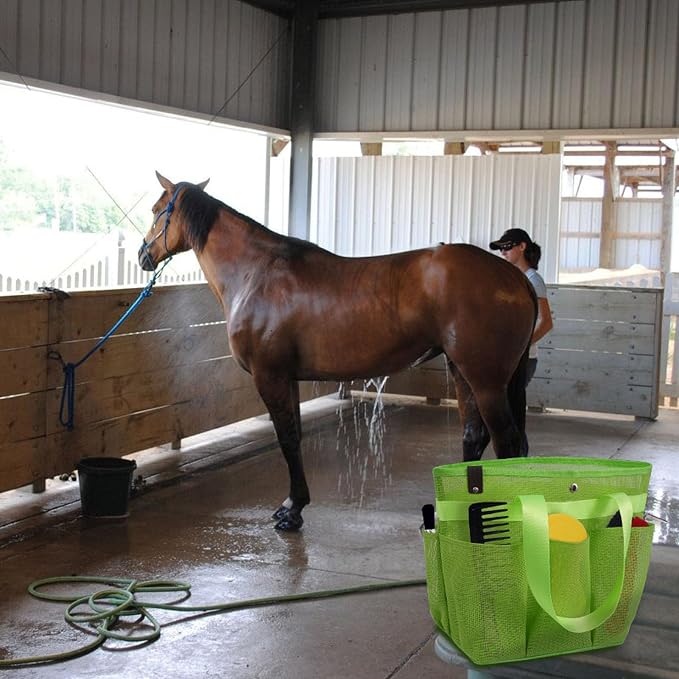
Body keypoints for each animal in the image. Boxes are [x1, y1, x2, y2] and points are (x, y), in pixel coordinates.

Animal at [139, 172, 537, 531]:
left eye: (157, 211)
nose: (144, 254)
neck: (256, 273)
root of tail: (516, 279)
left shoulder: (270, 376)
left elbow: (286, 439)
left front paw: (291, 512)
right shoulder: (288, 377)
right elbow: (295, 436)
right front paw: (295, 505)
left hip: (485, 379)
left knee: (506, 441)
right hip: (462, 370)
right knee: (475, 435)